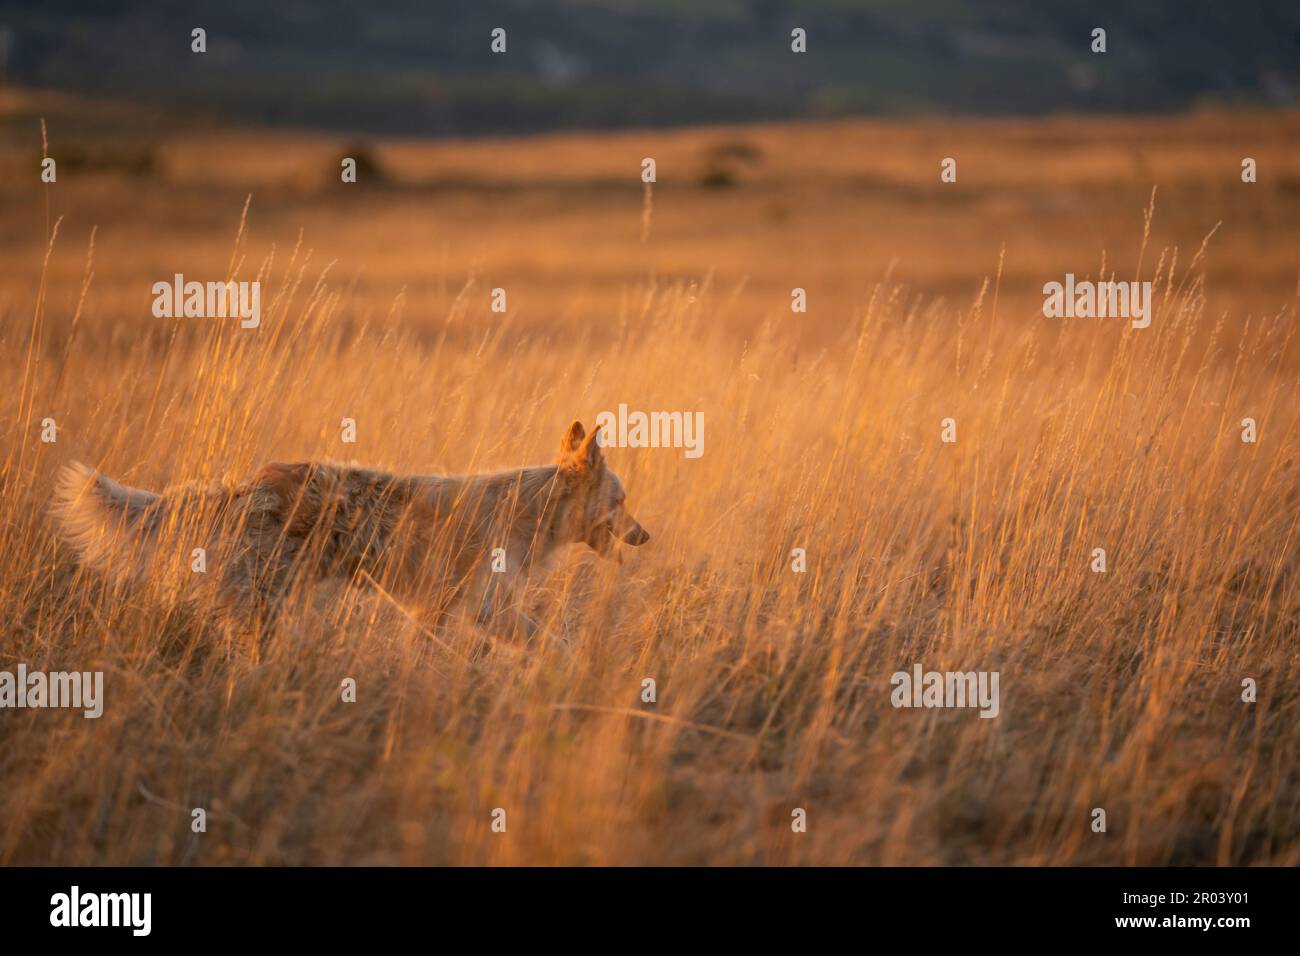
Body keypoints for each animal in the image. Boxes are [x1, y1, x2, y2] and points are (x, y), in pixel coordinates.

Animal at [52, 421, 650, 639]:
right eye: (621, 502)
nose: (646, 536)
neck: (534, 507)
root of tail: (246, 486)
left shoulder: (433, 610)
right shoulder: (488, 607)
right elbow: (554, 643)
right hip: (266, 602)